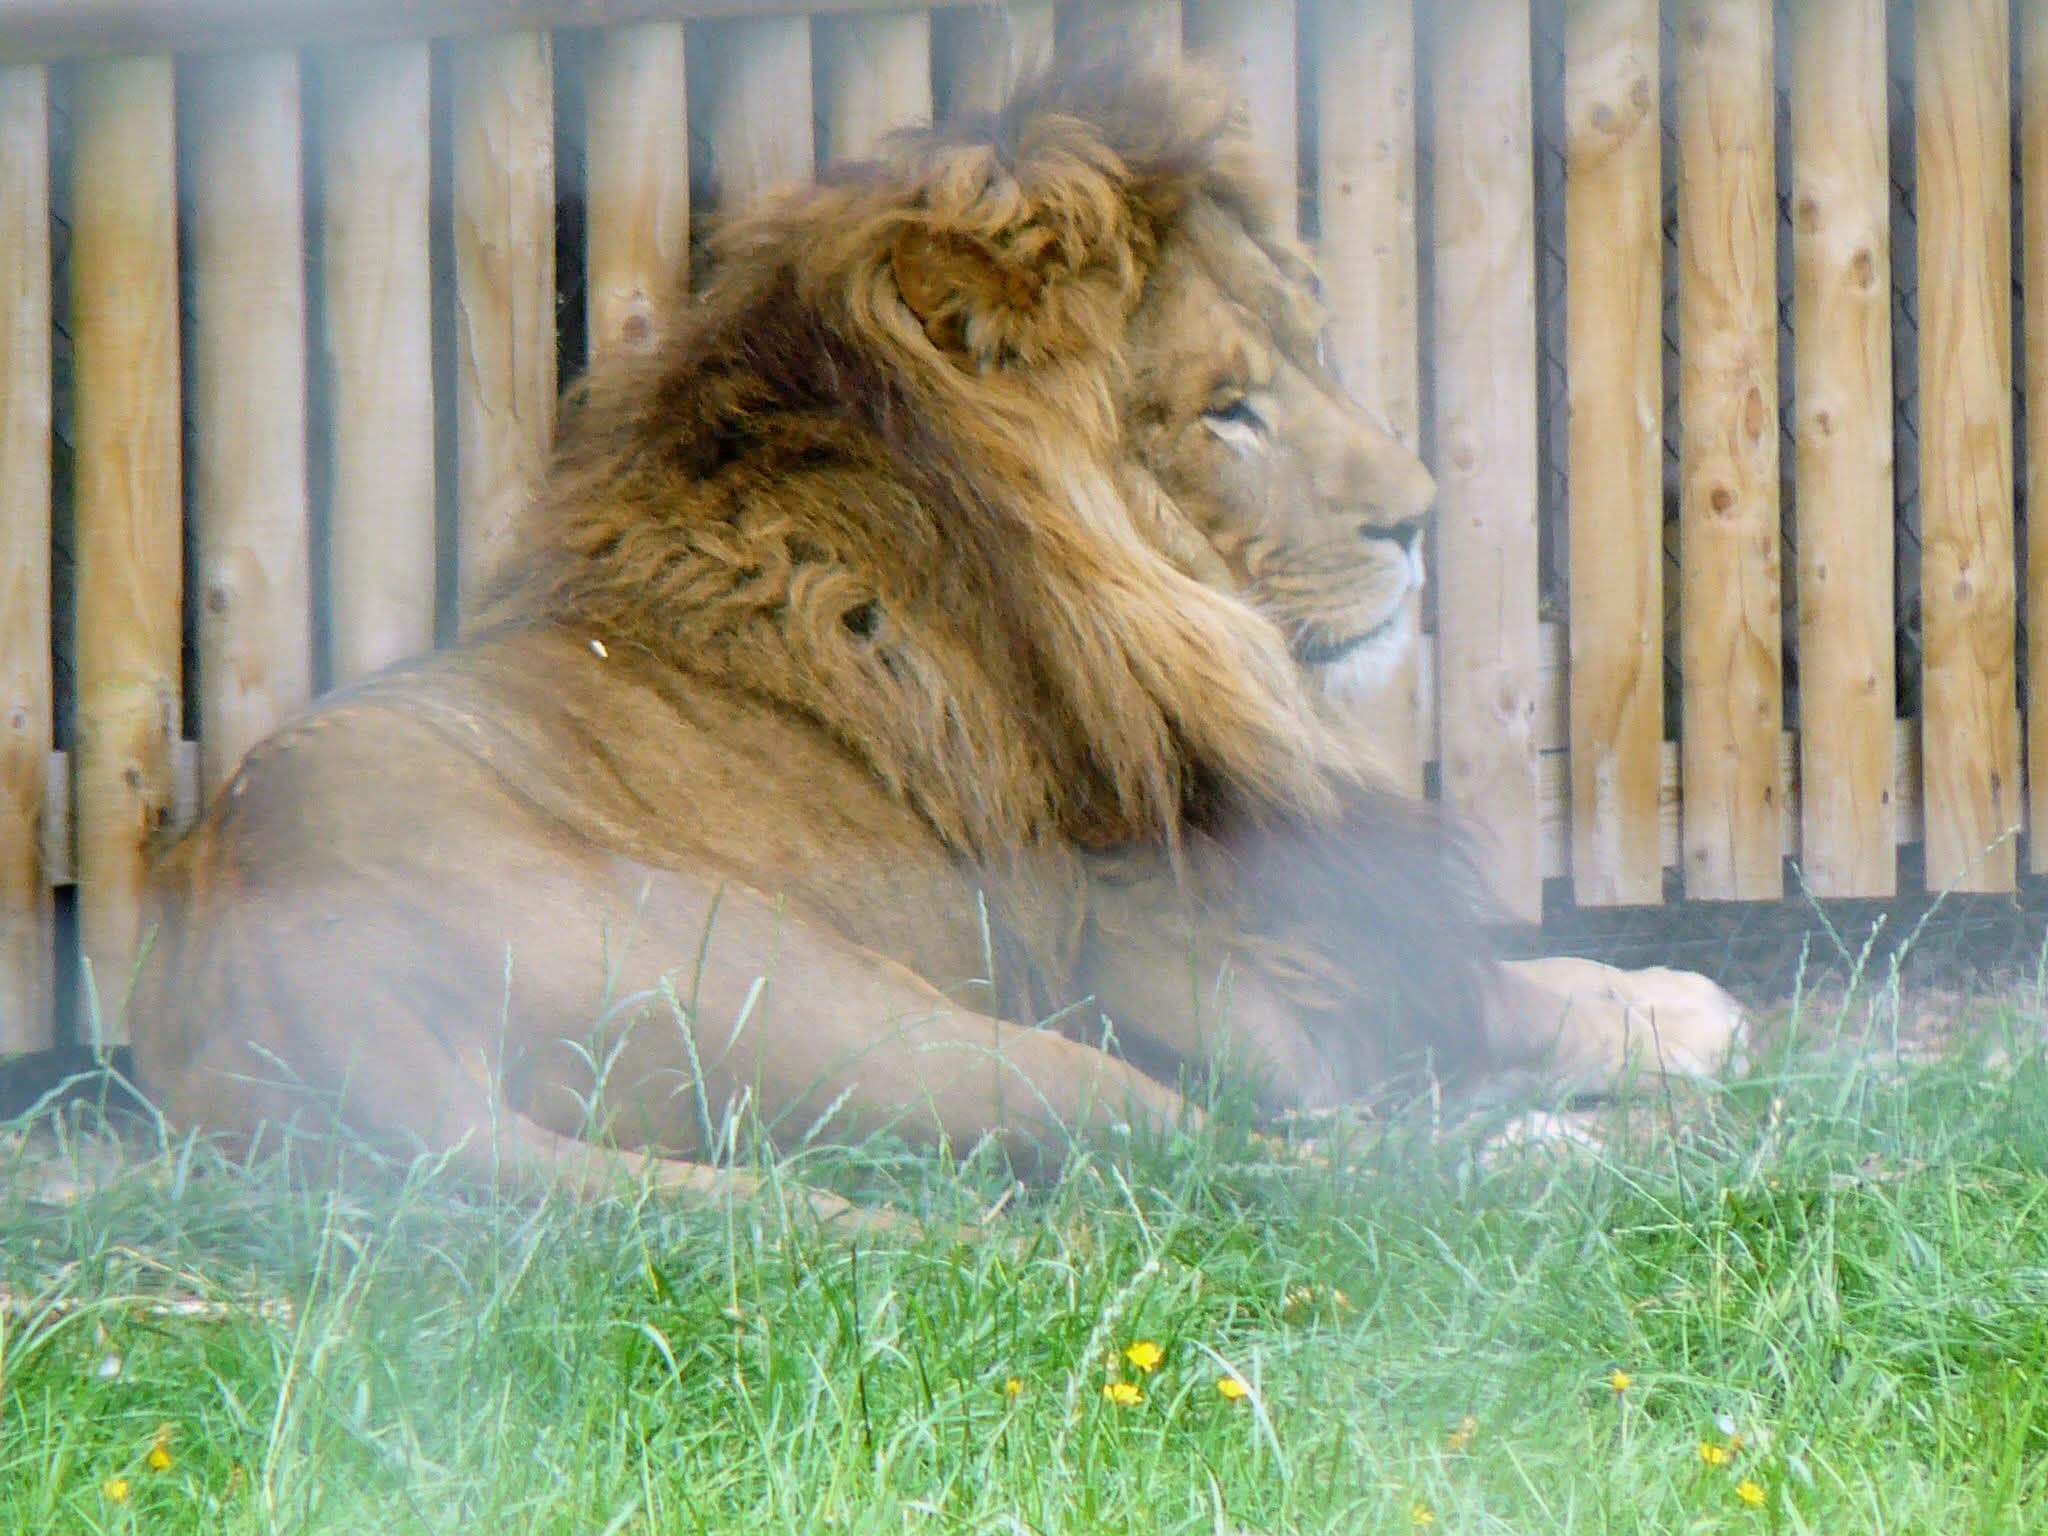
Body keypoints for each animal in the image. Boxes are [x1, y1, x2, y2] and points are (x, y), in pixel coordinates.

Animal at [128, 49, 1742, 1197]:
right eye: (1227, 409)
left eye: (1307, 355)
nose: (1417, 517)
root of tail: (286, 1005)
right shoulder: (1212, 982)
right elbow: (1477, 995)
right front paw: (1674, 1014)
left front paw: (1655, 999)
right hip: (863, 1003)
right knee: (1219, 1162)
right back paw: (1539, 1160)